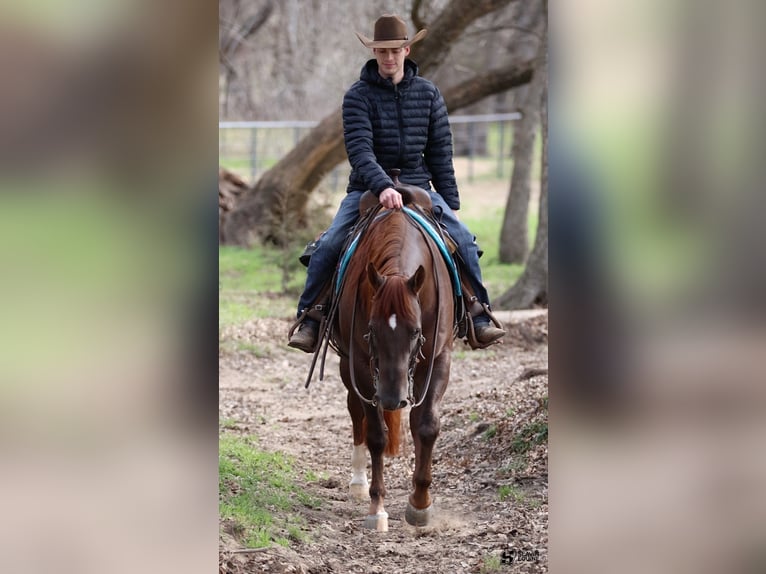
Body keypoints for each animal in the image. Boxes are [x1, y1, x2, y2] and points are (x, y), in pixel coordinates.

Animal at [332, 187, 456, 531]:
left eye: (415, 331)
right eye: (372, 330)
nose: (391, 399)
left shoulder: (439, 357)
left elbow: (426, 425)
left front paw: (420, 504)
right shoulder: (360, 364)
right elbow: (376, 435)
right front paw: (377, 508)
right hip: (348, 367)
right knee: (355, 413)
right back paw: (358, 483)